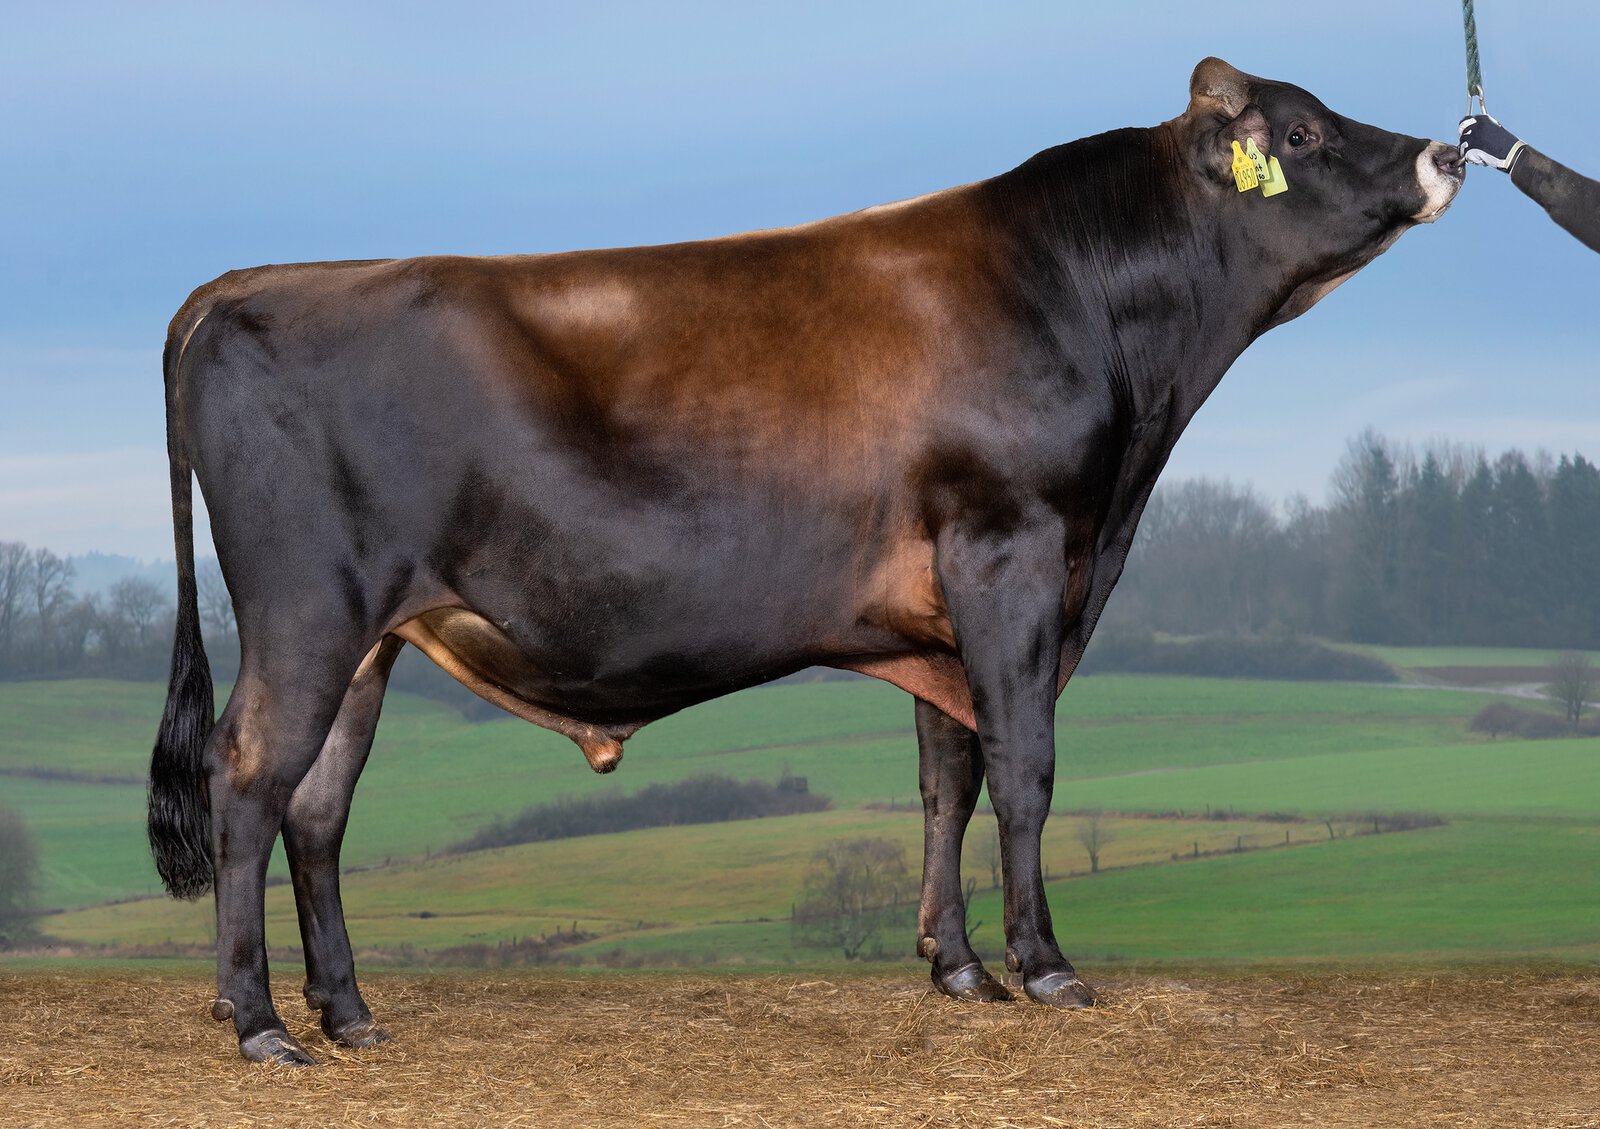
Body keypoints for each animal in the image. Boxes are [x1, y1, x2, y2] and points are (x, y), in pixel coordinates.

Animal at [148, 58, 1463, 1065]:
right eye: (1302, 132)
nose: (1442, 157)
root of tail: (244, 282)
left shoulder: (945, 608)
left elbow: (948, 776)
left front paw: (956, 965)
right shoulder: (1013, 550)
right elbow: (1024, 767)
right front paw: (1043, 967)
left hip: (372, 633)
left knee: (318, 806)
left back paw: (348, 1013)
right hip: (308, 611)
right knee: (248, 778)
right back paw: (259, 1022)